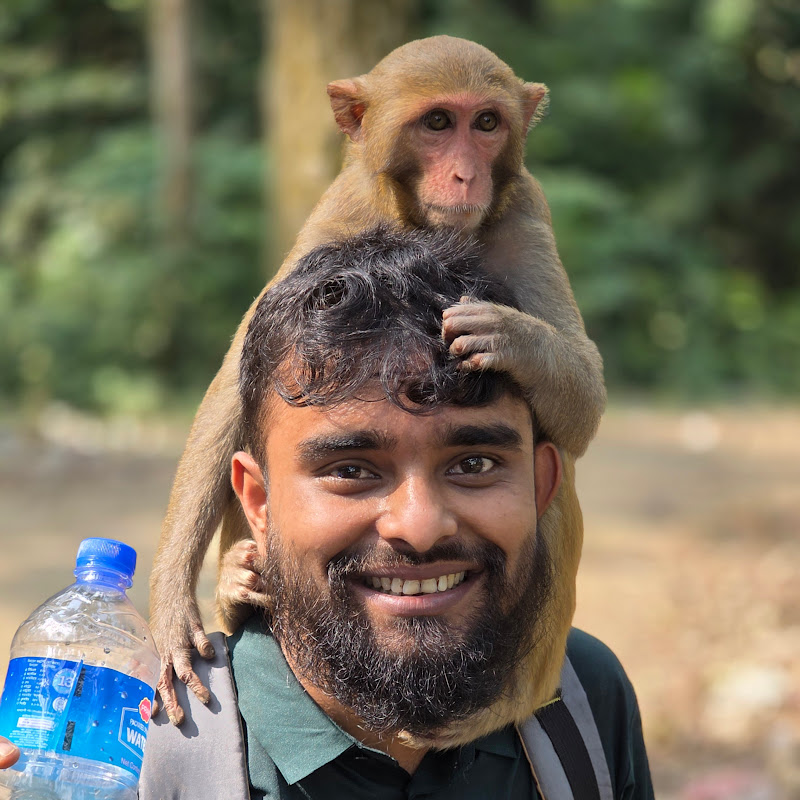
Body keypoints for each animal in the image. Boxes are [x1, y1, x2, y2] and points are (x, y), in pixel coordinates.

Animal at [149, 35, 606, 725]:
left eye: (487, 124)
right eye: (439, 123)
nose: (466, 174)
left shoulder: (527, 211)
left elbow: (585, 393)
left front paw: (508, 336)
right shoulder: (343, 209)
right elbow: (235, 387)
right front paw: (173, 605)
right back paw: (238, 584)